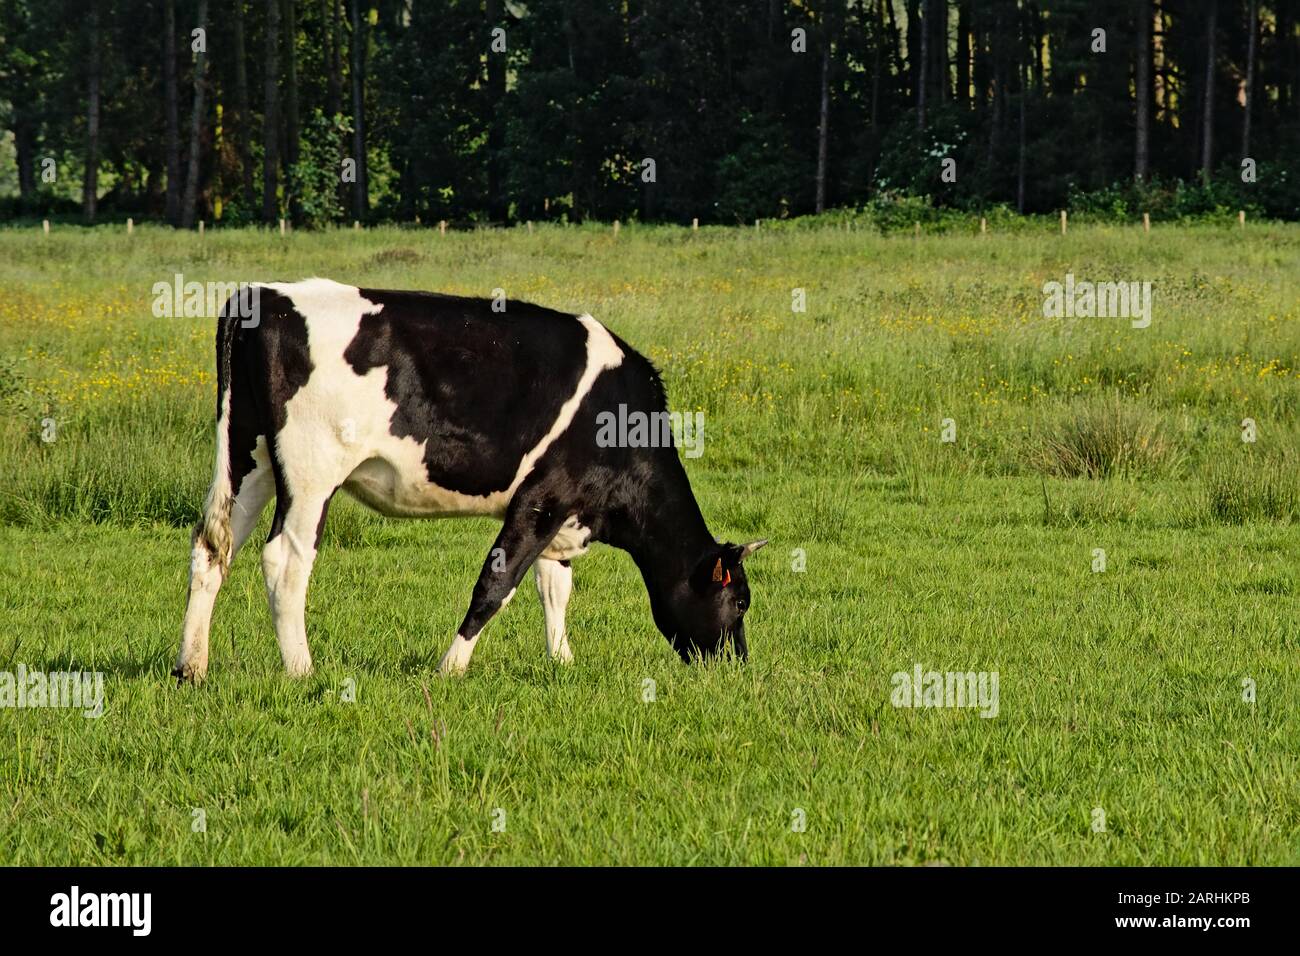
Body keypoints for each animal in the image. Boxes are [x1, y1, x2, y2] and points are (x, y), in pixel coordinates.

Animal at [171, 277, 759, 681]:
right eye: (740, 602)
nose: (738, 665)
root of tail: (264, 294)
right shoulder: (544, 496)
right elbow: (496, 585)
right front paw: (452, 666)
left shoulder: (564, 511)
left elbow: (555, 587)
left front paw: (562, 661)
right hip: (312, 473)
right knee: (286, 561)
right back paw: (302, 670)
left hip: (249, 459)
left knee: (212, 547)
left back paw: (191, 667)